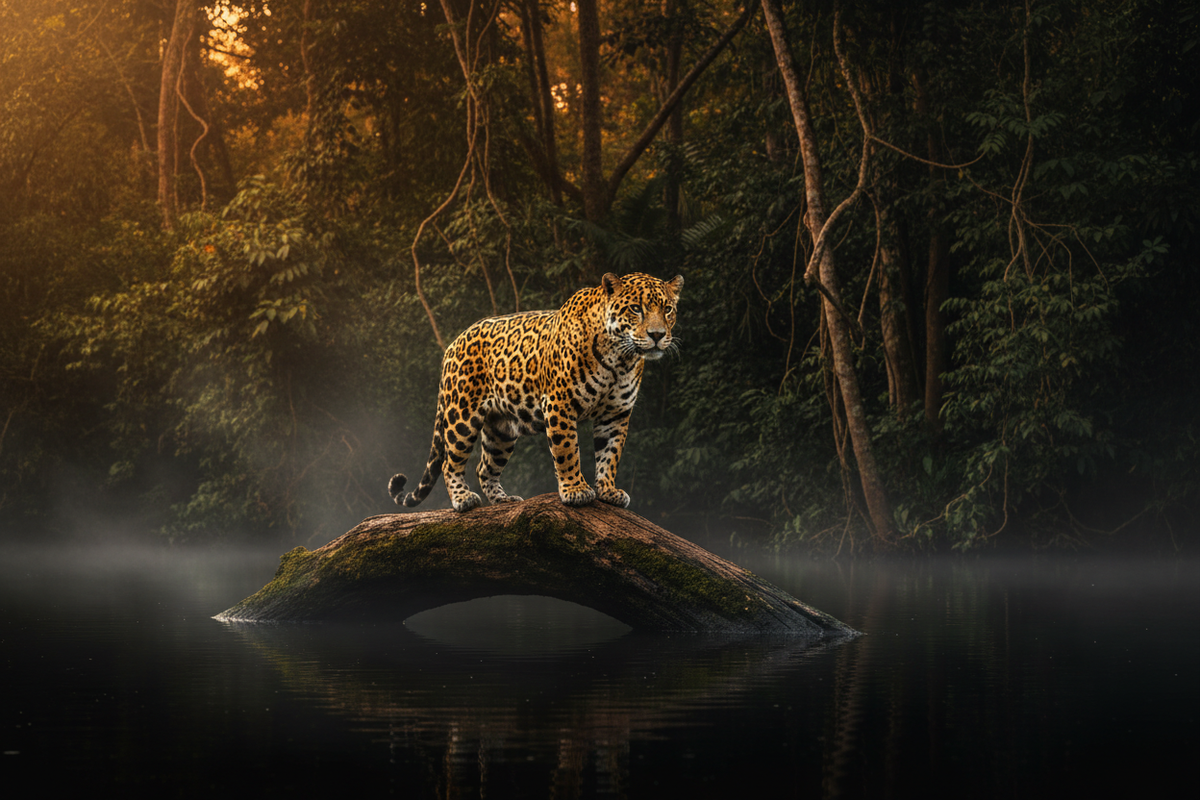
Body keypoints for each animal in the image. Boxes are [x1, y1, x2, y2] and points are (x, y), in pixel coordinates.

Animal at [388, 272, 683, 512]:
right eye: (636, 309)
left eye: (668, 309)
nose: (657, 335)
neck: (620, 359)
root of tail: (453, 344)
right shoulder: (559, 403)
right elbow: (567, 450)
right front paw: (576, 491)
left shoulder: (615, 414)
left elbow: (610, 455)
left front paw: (608, 491)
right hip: (462, 415)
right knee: (450, 463)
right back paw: (463, 499)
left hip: (501, 430)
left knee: (484, 468)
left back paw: (503, 500)